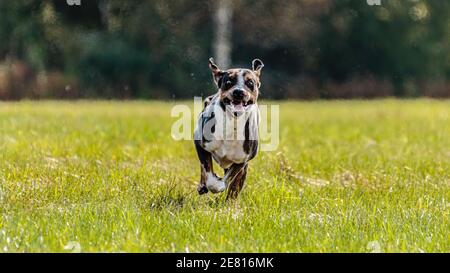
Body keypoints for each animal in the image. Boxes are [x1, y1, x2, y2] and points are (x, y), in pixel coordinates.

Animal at [193, 56, 264, 198]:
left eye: (250, 83)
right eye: (228, 82)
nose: (238, 92)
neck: (233, 124)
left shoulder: (242, 160)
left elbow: (232, 179)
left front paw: (224, 187)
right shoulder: (200, 143)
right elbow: (207, 171)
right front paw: (211, 183)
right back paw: (203, 186)